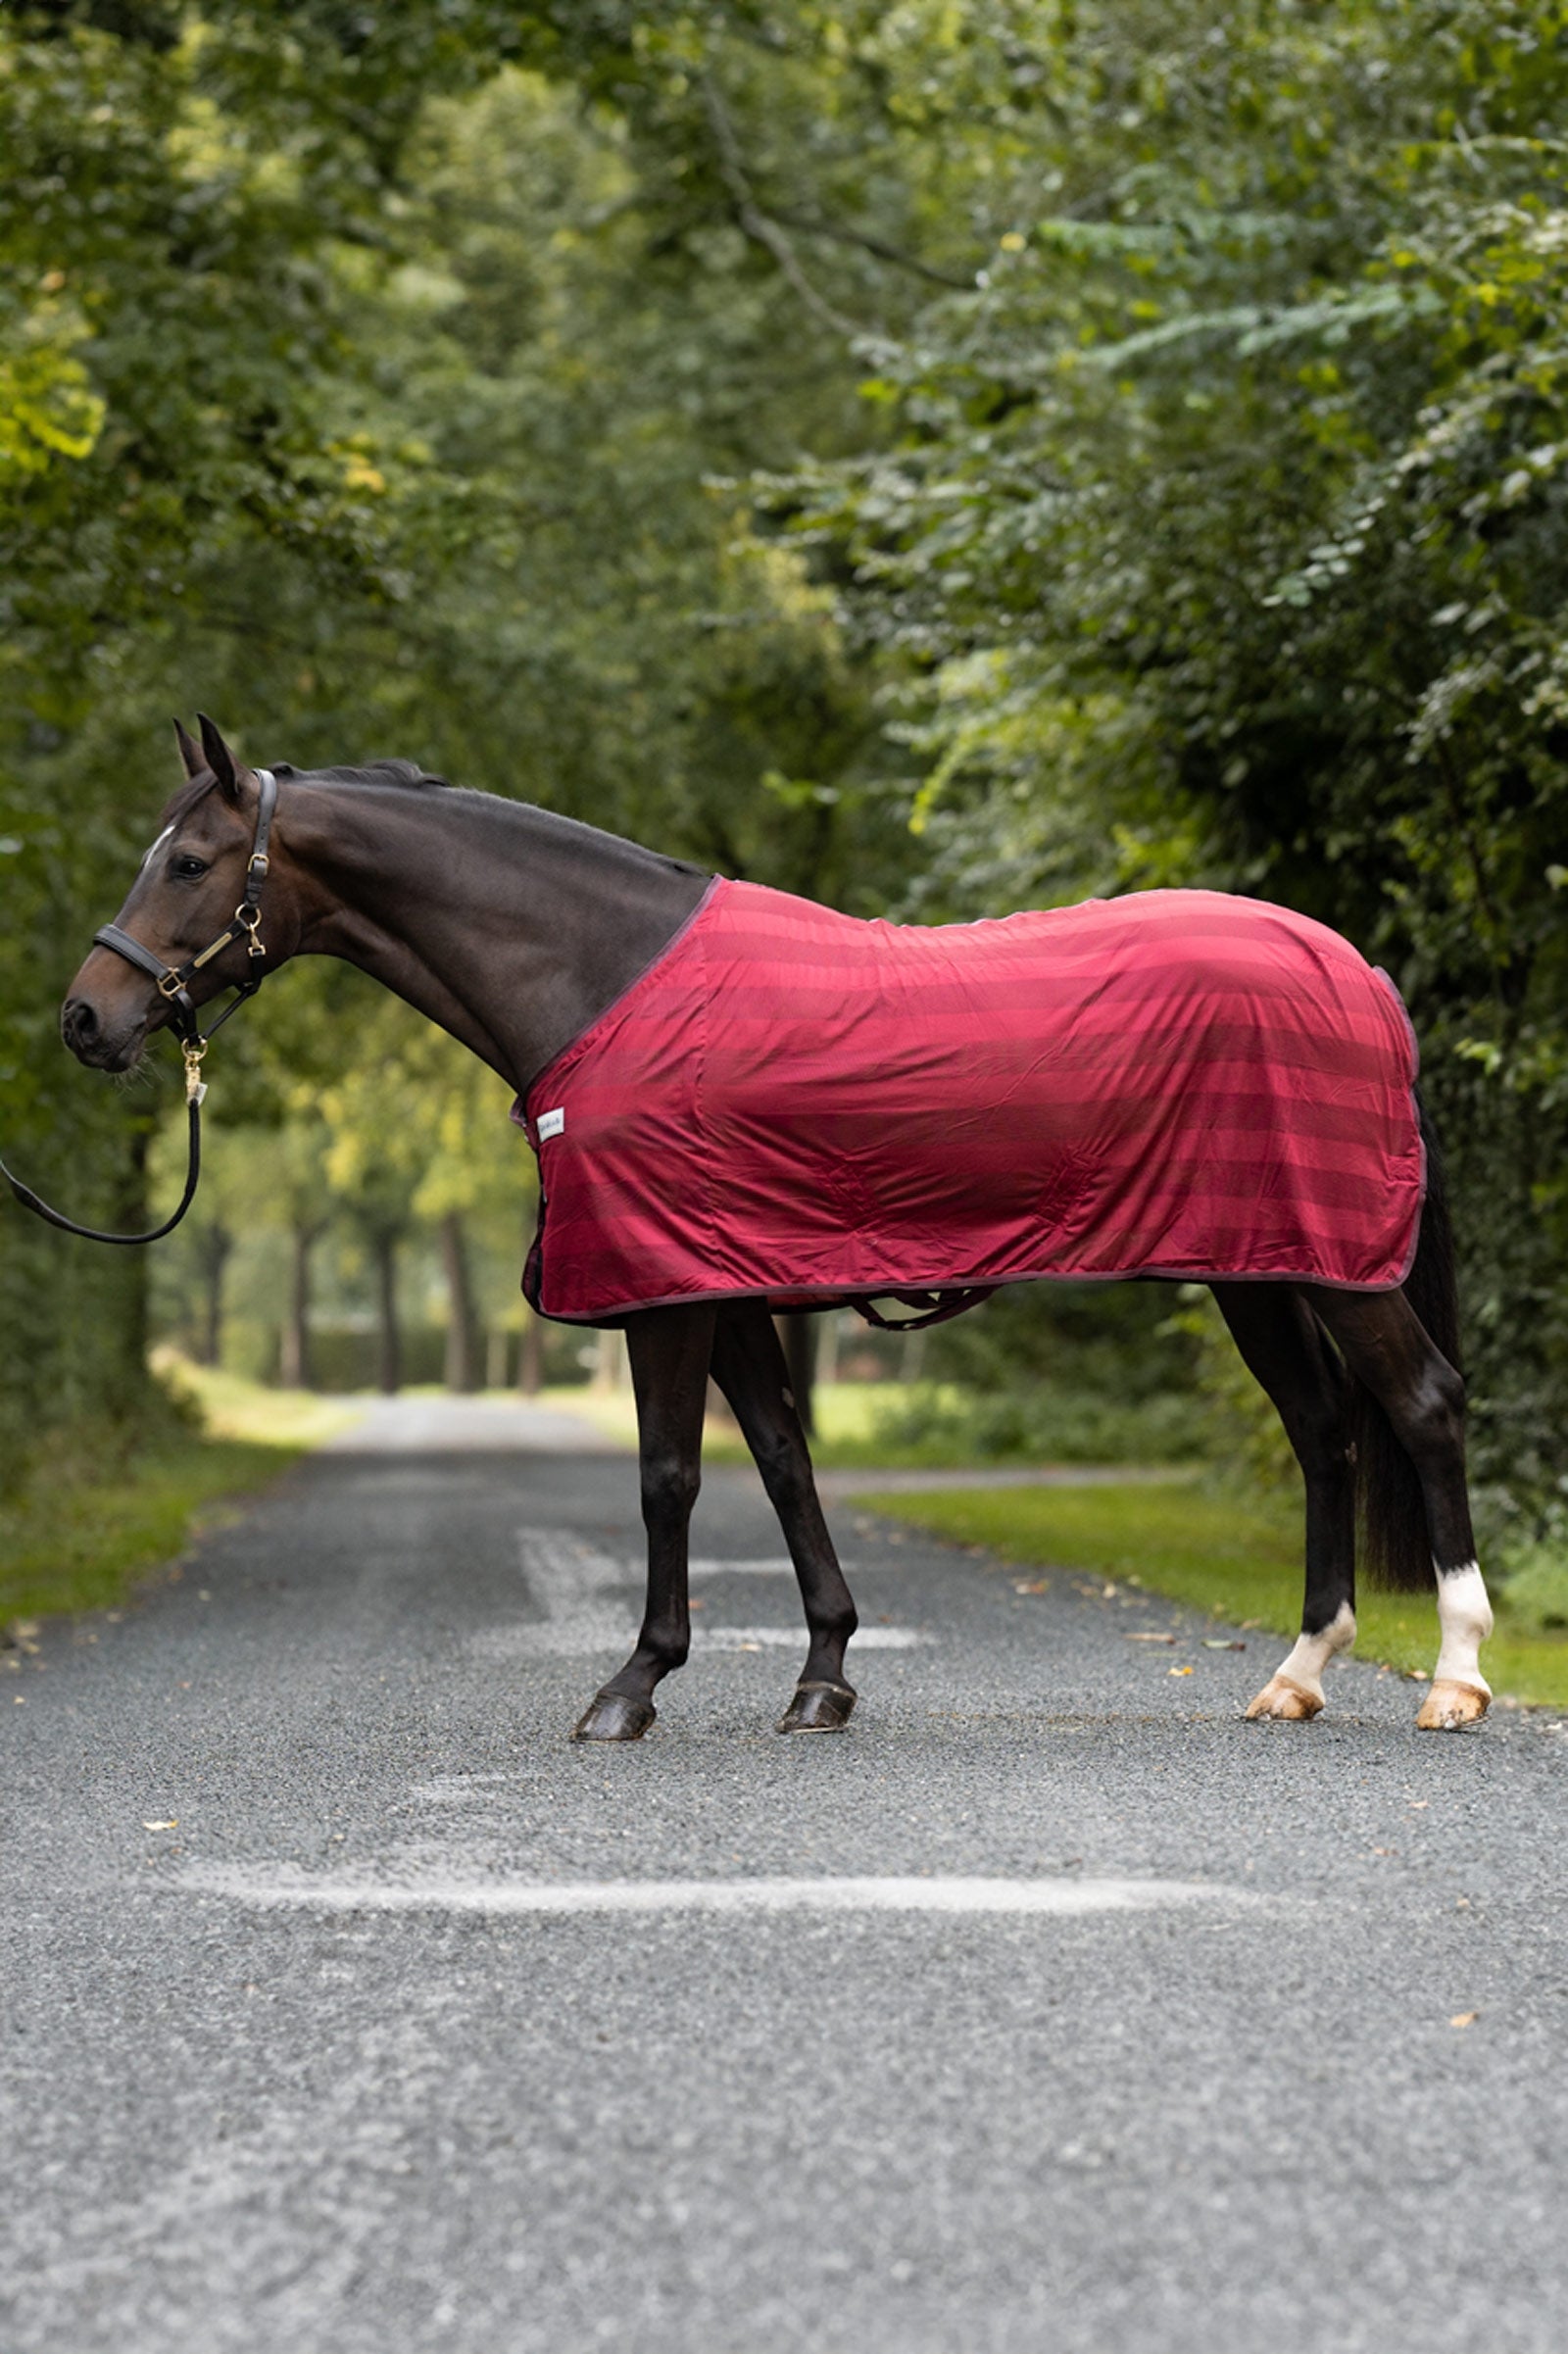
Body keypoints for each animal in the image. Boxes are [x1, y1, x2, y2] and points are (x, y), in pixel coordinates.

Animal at [56, 715, 1494, 1741]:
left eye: (187, 862)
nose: (85, 1018)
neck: (601, 976)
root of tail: (1360, 971)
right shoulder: (729, 1283)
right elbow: (787, 1464)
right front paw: (822, 1675)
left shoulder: (666, 1294)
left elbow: (669, 1479)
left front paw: (632, 1684)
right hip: (1260, 1265)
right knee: (1321, 1429)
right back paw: (1298, 1672)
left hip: (1334, 1267)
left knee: (1419, 1403)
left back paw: (1454, 1676)